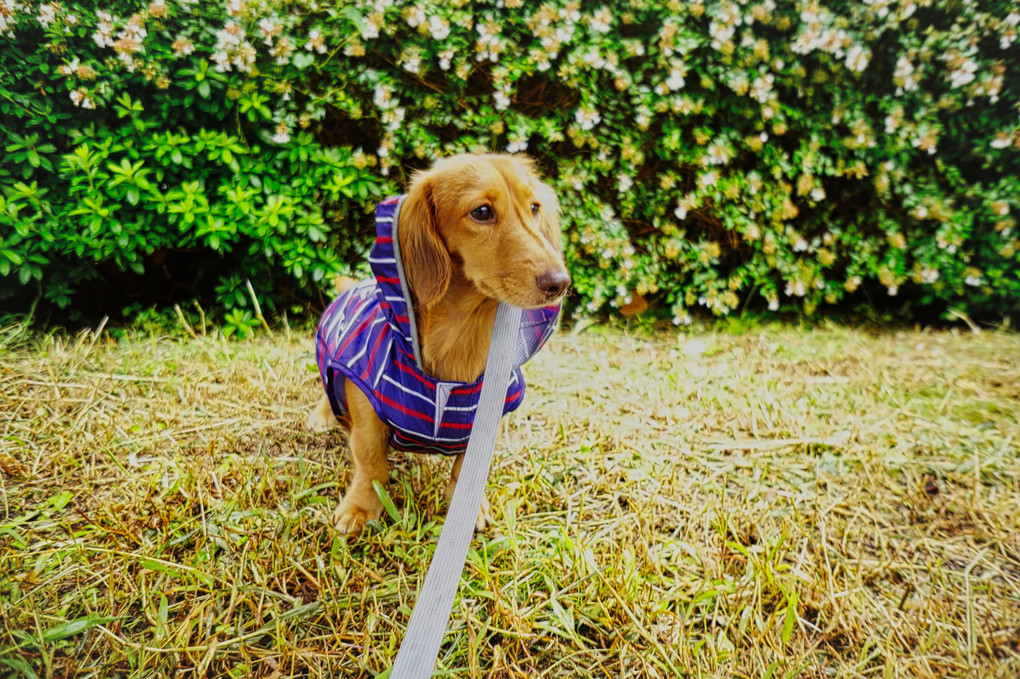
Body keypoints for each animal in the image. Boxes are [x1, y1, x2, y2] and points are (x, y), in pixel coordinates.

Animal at [306, 152, 571, 534]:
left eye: (534, 207)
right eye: (482, 211)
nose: (560, 283)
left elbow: (464, 469)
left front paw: (470, 508)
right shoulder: (365, 401)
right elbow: (371, 462)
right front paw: (360, 508)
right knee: (330, 393)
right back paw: (322, 416)